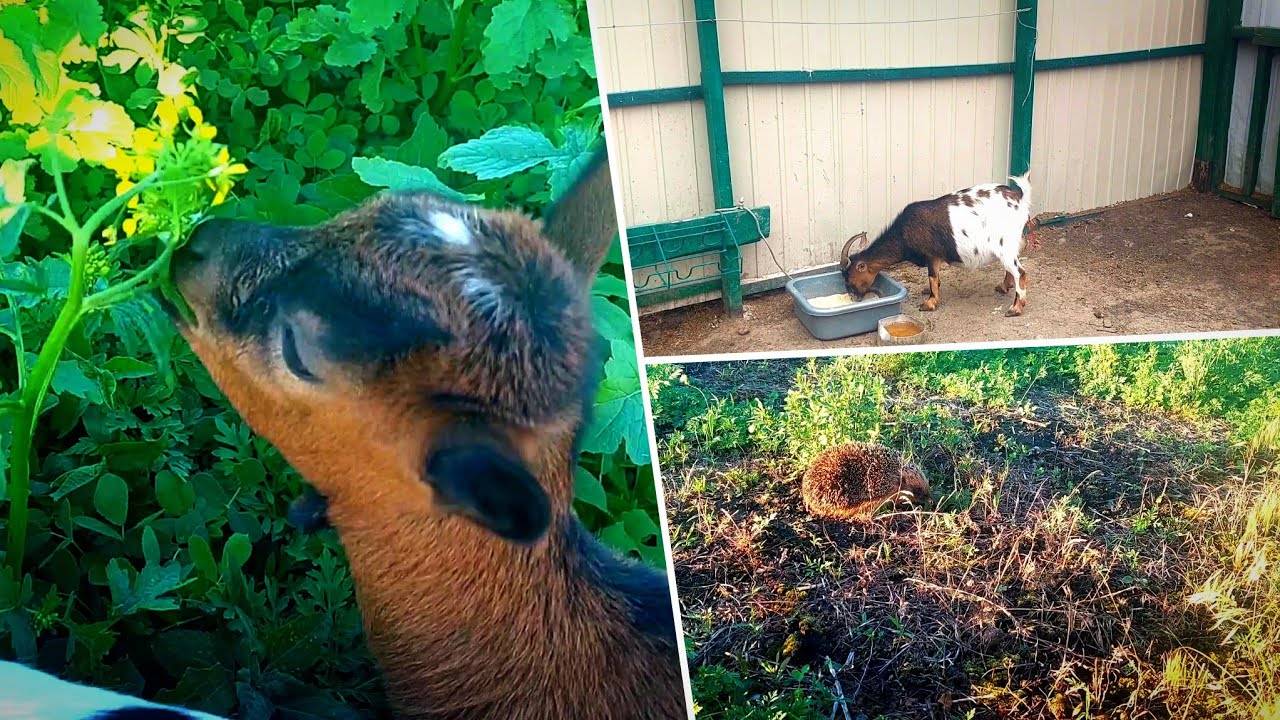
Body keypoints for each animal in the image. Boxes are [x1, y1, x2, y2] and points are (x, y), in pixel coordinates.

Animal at [840, 174, 1033, 316]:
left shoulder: (931, 255)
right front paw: (928, 292)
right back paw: (1003, 287)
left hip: (1004, 245)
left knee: (1020, 272)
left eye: (849, 279)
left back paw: (1015, 308)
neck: (904, 233)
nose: (855, 298)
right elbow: (936, 278)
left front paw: (929, 303)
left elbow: (932, 277)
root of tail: (1020, 200)